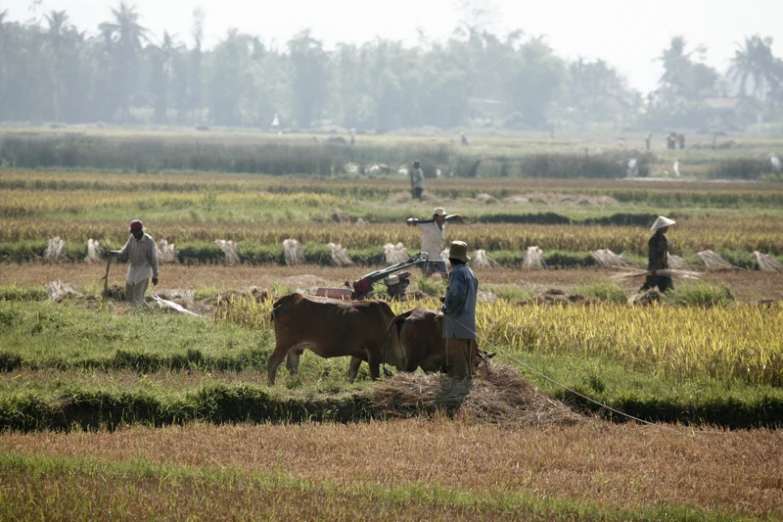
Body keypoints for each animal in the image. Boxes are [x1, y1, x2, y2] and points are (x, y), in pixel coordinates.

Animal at [270, 292, 398, 382]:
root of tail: (293, 297)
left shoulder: (358, 353)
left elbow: (352, 373)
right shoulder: (373, 351)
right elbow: (375, 375)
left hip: (295, 348)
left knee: (292, 367)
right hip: (284, 344)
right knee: (273, 362)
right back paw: (271, 384)